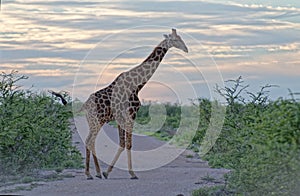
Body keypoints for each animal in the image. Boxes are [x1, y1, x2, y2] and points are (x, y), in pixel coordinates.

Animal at [81, 28, 188, 180]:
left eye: (180, 38)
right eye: (175, 39)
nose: (186, 49)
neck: (137, 85)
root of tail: (85, 105)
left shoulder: (122, 117)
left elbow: (123, 143)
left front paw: (107, 172)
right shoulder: (131, 114)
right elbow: (129, 144)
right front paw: (132, 173)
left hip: (94, 121)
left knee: (90, 141)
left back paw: (96, 172)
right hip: (98, 120)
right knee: (90, 141)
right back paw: (90, 173)